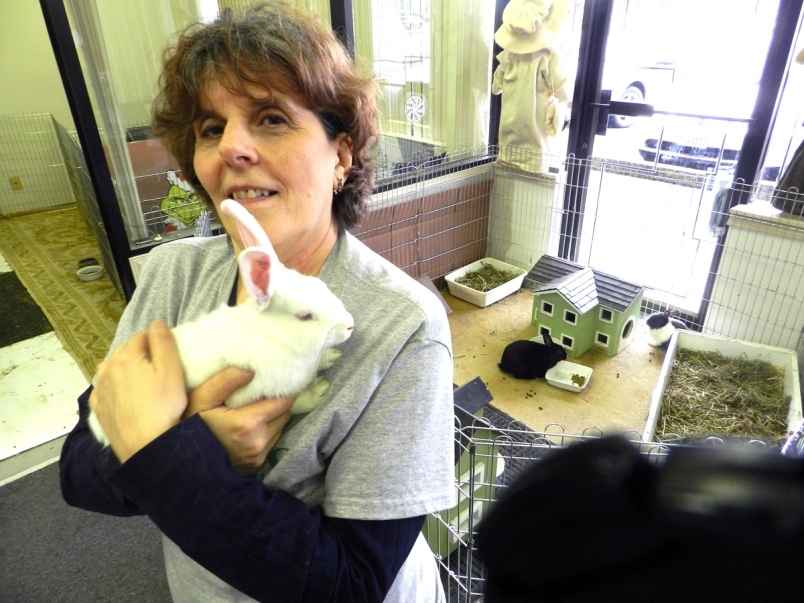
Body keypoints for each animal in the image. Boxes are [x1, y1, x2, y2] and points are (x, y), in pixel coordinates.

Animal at [89, 199, 354, 448]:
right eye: (305, 316)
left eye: (321, 286)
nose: (350, 325)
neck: (273, 336)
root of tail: (94, 423)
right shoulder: (247, 396)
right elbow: (293, 404)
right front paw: (317, 391)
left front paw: (332, 356)